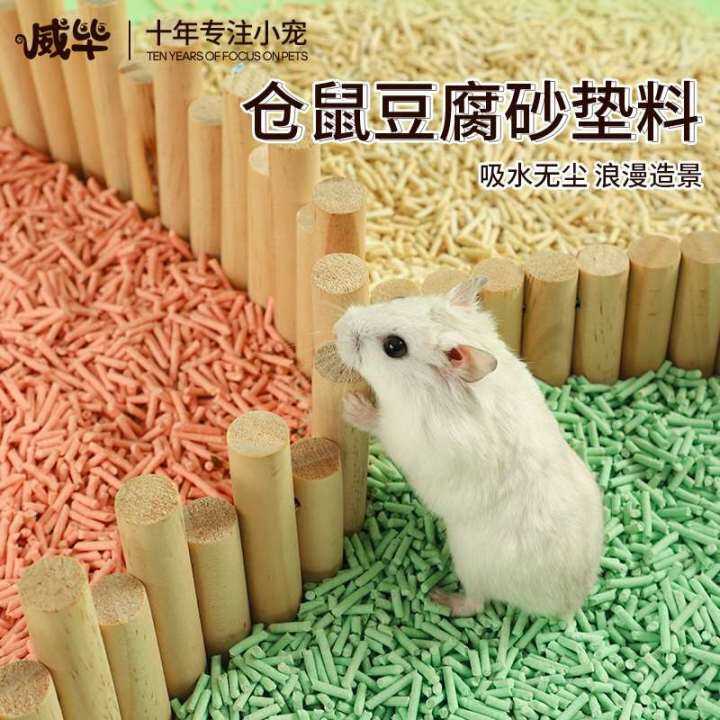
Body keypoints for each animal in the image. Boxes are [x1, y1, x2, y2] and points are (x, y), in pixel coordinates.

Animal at [334, 276, 603, 618]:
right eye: (400, 297)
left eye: (394, 347)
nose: (337, 327)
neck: (424, 390)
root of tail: (569, 604)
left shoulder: (404, 433)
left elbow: (378, 424)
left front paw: (351, 404)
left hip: (469, 563)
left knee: (475, 604)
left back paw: (440, 598)